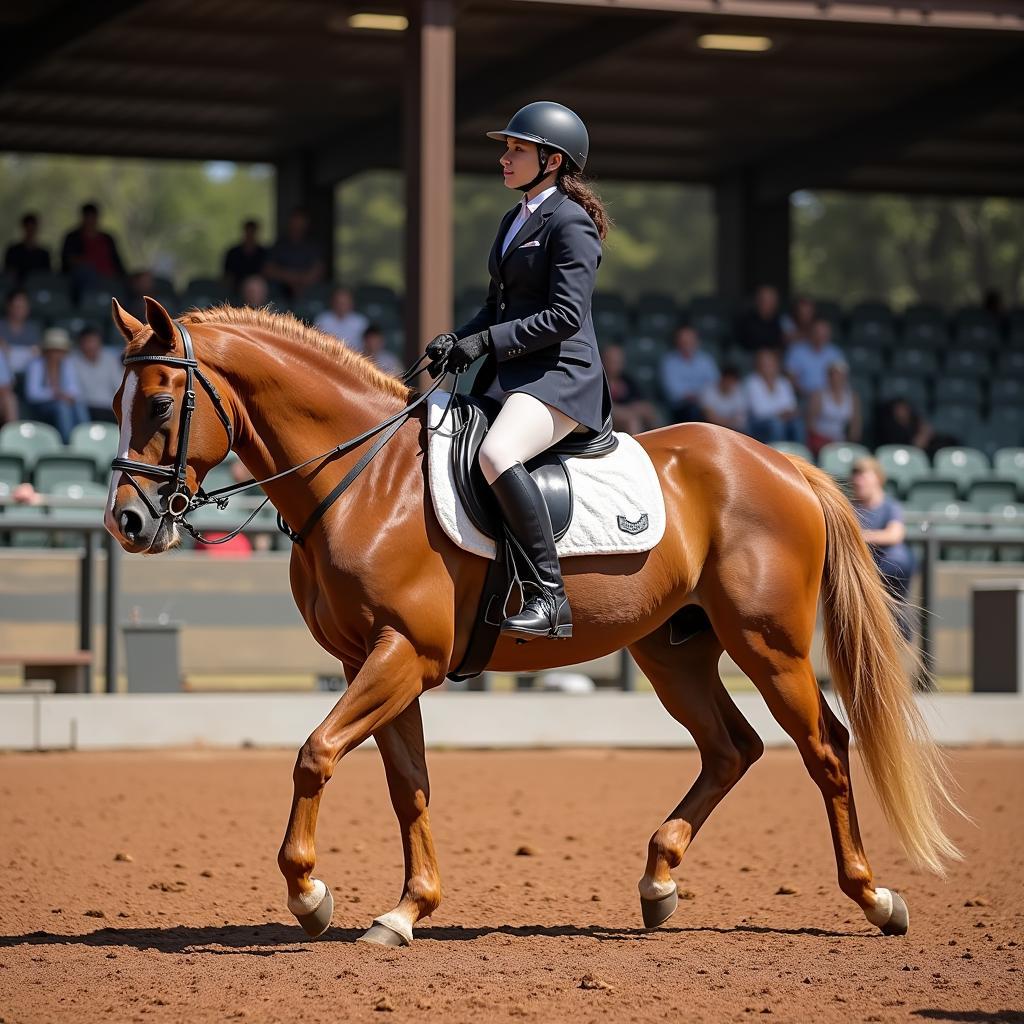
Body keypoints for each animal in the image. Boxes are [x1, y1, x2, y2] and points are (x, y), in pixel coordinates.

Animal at [105, 299, 958, 946]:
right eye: (115, 406)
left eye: (159, 403)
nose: (127, 522)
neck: (364, 481)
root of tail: (787, 464)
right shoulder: (372, 661)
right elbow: (408, 785)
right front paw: (406, 910)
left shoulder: (404, 654)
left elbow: (316, 755)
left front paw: (309, 895)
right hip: (674, 652)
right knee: (732, 748)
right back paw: (658, 880)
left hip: (769, 646)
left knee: (826, 748)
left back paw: (875, 898)